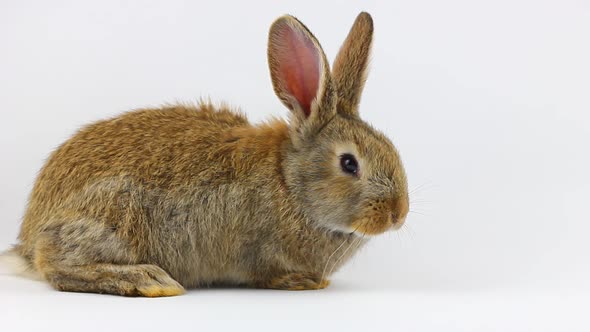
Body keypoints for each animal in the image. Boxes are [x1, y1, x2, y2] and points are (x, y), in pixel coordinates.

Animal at [4, 12, 410, 296]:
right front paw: (301, 282)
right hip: (114, 217)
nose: (398, 214)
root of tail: (29, 237)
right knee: (56, 265)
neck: (289, 183)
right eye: (349, 163)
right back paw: (148, 280)